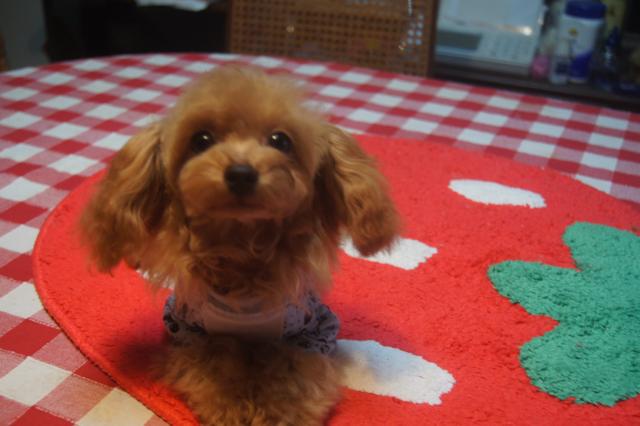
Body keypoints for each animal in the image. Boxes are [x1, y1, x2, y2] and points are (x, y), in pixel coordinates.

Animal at [81, 67, 400, 425]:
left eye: (280, 140)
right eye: (201, 140)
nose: (241, 174)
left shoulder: (311, 332)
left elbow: (293, 376)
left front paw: (280, 413)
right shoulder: (191, 332)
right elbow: (218, 368)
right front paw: (231, 407)